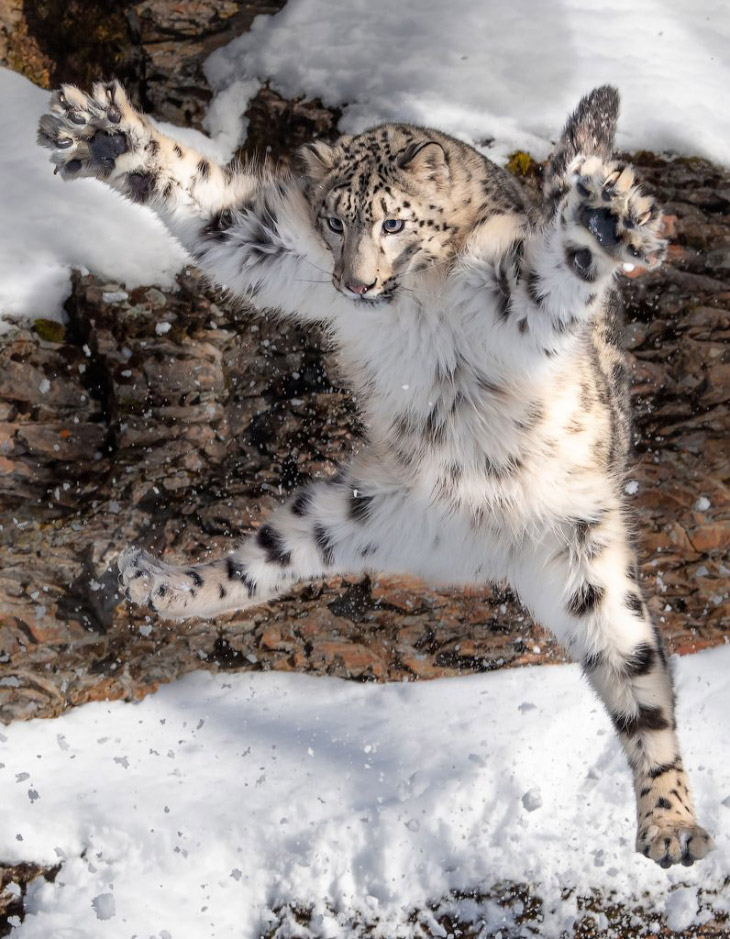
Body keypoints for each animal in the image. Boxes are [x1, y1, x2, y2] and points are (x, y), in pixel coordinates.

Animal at [38, 79, 712, 868]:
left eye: (393, 221)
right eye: (335, 221)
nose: (355, 284)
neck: (415, 302)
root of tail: (478, 549)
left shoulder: (515, 292)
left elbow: (556, 266)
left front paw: (604, 217)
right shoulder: (275, 246)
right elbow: (211, 207)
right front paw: (106, 135)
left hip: (591, 565)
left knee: (641, 690)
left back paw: (672, 825)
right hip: (342, 510)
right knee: (248, 570)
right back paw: (151, 580)